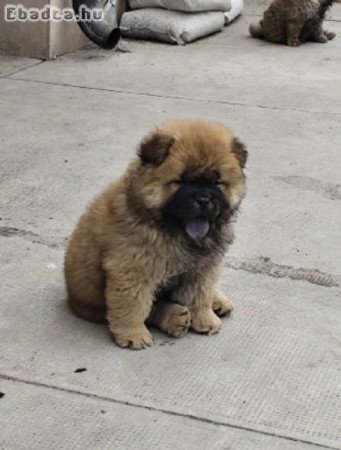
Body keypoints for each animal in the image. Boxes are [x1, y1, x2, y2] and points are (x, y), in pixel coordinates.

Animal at [63, 120, 246, 352]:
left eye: (216, 183)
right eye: (181, 181)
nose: (204, 200)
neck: (177, 233)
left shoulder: (204, 267)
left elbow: (200, 295)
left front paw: (205, 319)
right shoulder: (132, 269)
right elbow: (133, 305)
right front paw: (133, 335)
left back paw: (217, 302)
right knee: (152, 309)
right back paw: (176, 318)